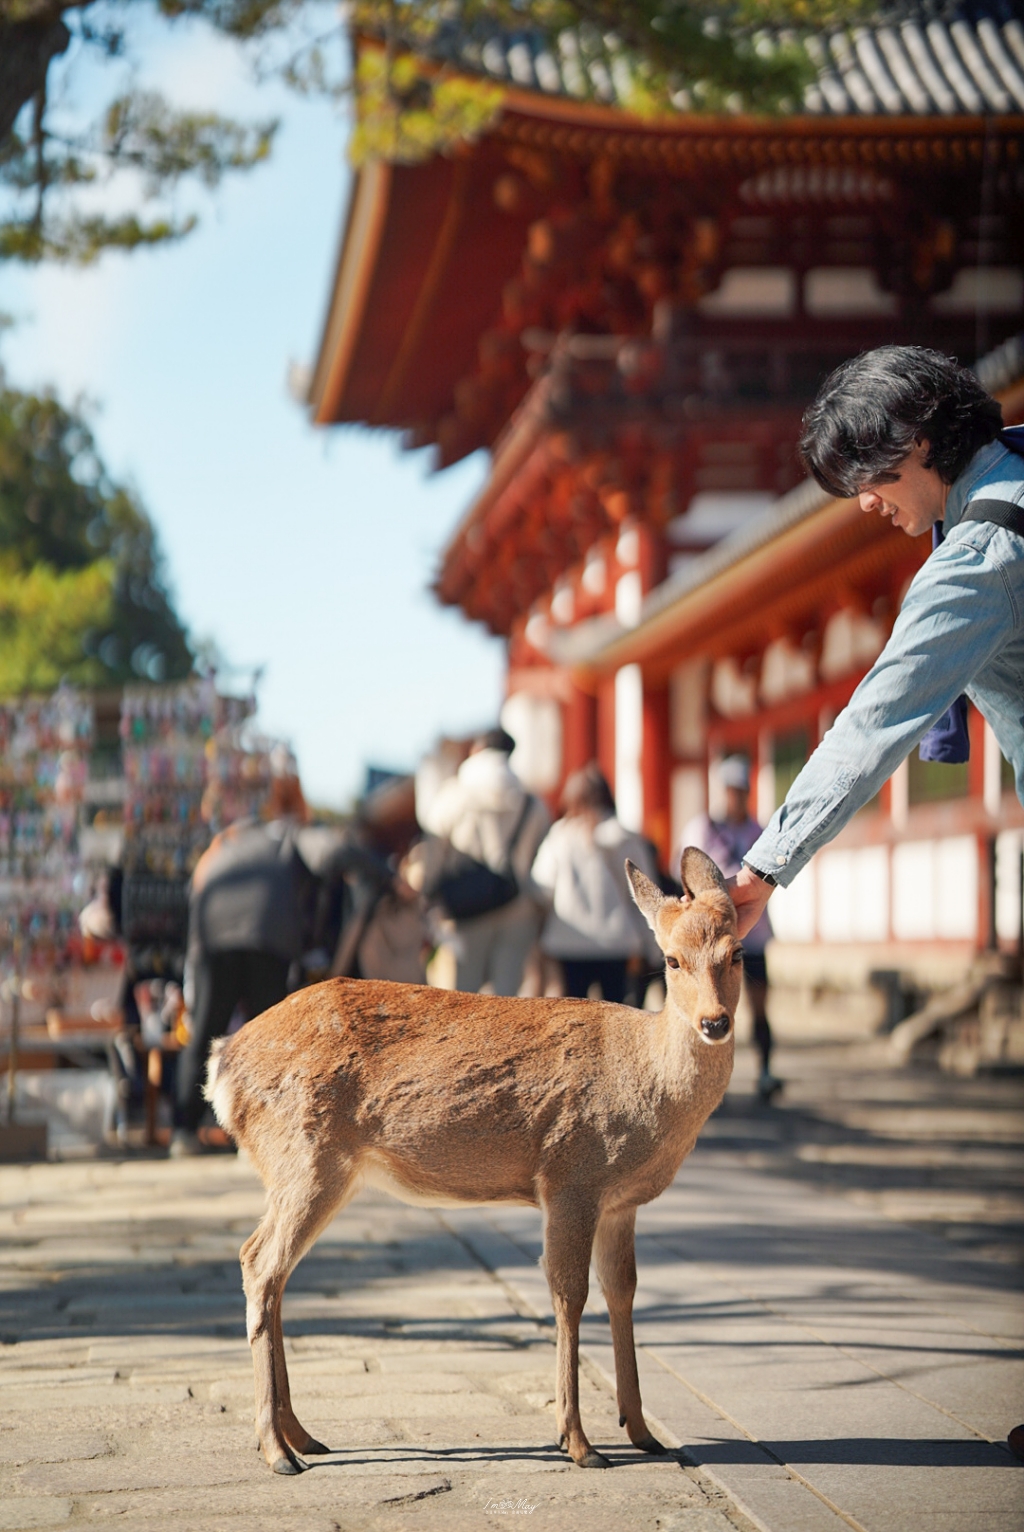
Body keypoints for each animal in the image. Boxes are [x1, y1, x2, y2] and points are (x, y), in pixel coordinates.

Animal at [208, 851, 738, 1470]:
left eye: (737, 953)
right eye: (672, 960)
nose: (715, 1022)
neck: (645, 1083)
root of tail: (221, 1065)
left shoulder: (619, 1202)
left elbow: (622, 1290)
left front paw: (643, 1433)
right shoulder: (571, 1174)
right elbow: (569, 1293)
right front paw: (579, 1443)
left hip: (314, 1171)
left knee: (269, 1267)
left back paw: (303, 1435)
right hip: (306, 1157)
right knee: (260, 1262)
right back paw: (276, 1449)